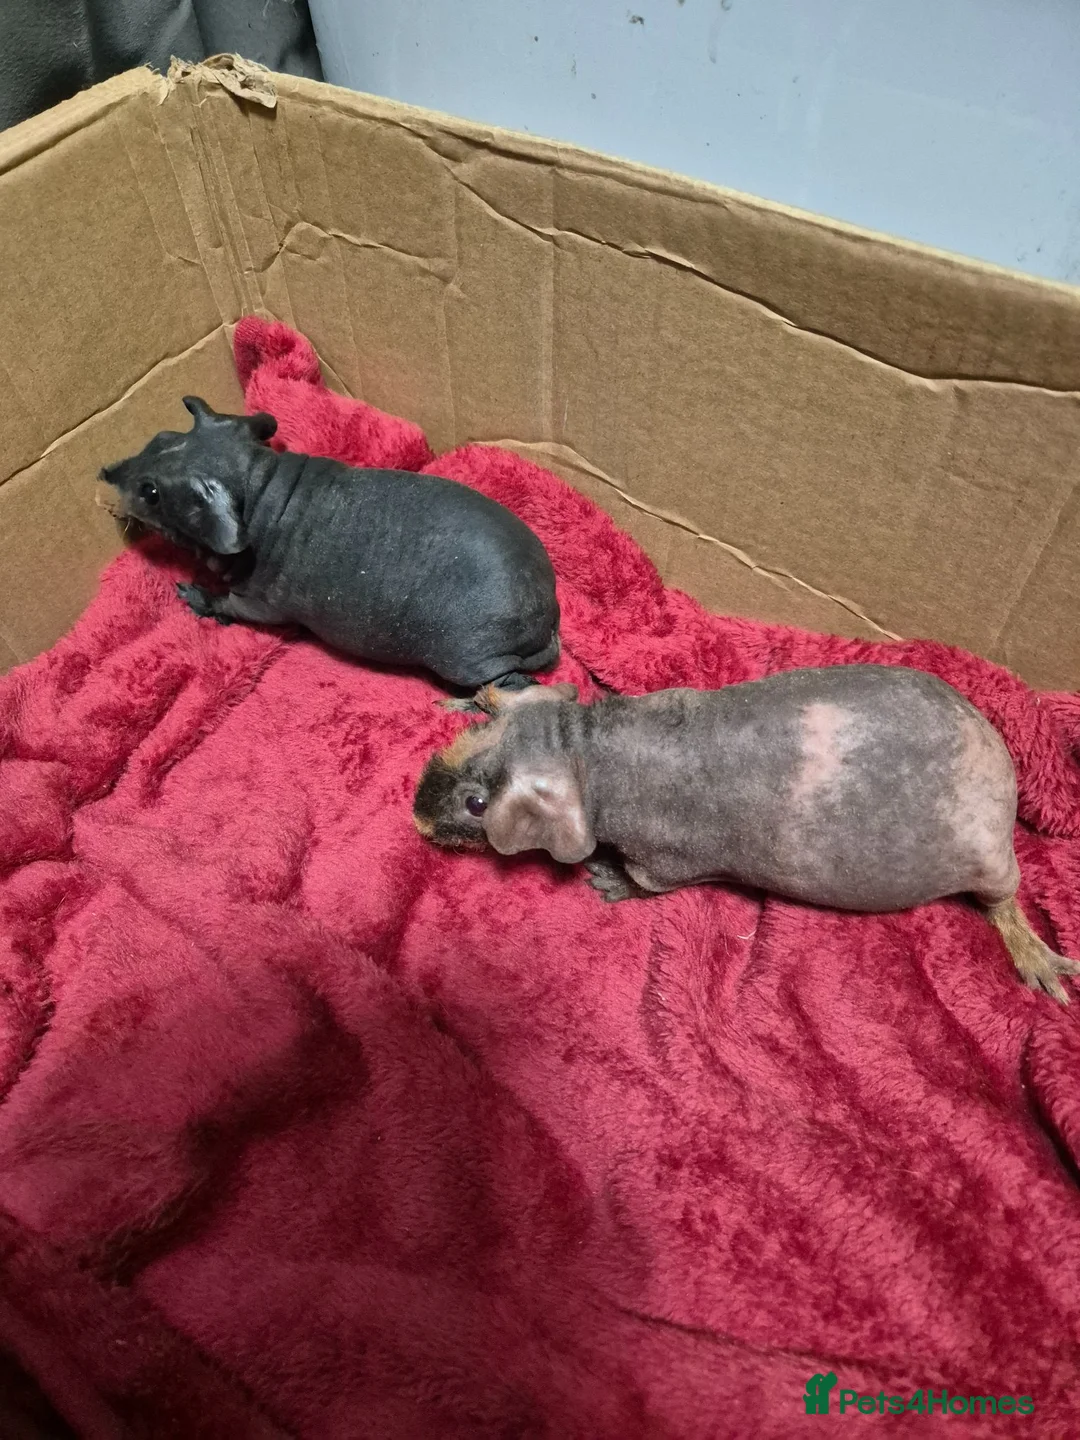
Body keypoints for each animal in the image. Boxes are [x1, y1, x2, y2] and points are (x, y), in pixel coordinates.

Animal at [99, 397, 560, 694]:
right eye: (158, 437)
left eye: (151, 492)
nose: (105, 472)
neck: (262, 486)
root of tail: (549, 614)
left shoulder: (262, 604)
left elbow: (228, 605)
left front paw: (195, 595)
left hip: (465, 656)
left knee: (509, 683)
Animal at [412, 664, 1079, 1002]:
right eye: (473, 730)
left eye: (476, 805)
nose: (416, 815)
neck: (592, 748)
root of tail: (1008, 782)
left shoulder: (665, 857)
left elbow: (649, 883)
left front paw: (607, 881)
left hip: (987, 860)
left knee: (1003, 902)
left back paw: (1037, 958)